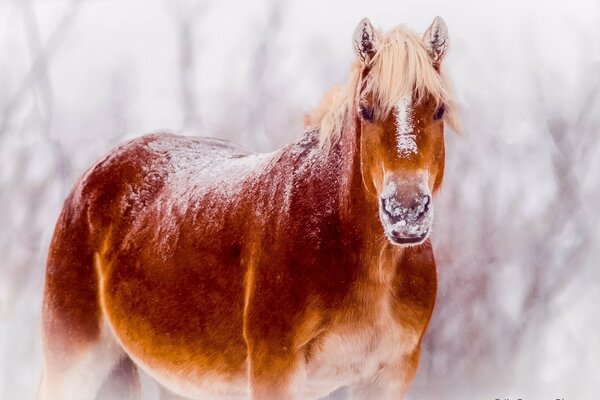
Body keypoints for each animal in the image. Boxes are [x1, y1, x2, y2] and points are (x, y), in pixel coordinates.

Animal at [41, 16, 460, 400]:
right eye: (366, 109)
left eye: (438, 109)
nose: (406, 211)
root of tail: (90, 178)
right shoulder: (275, 367)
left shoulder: (389, 374)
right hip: (74, 358)